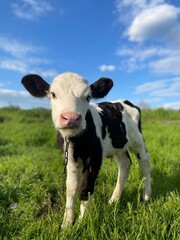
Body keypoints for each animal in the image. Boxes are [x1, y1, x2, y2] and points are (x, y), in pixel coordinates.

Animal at [21, 72, 152, 228]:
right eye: (53, 94)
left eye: (88, 97)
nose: (71, 118)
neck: (76, 141)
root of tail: (123, 102)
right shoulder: (69, 159)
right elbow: (71, 189)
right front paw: (66, 224)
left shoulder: (95, 157)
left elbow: (85, 188)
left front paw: (81, 222)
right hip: (118, 147)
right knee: (125, 165)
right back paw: (113, 200)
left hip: (138, 140)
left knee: (145, 164)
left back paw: (146, 196)